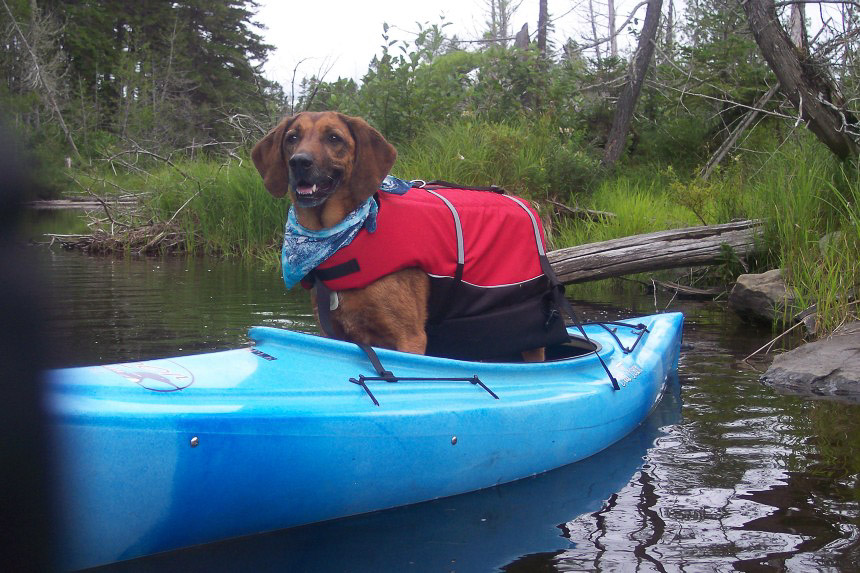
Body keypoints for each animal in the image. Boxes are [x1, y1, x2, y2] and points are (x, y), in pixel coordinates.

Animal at [252, 111, 548, 360]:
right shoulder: (332, 332)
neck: (343, 238)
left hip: (526, 332)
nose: (299, 162)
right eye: (292, 138)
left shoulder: (410, 338)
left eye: (334, 138)